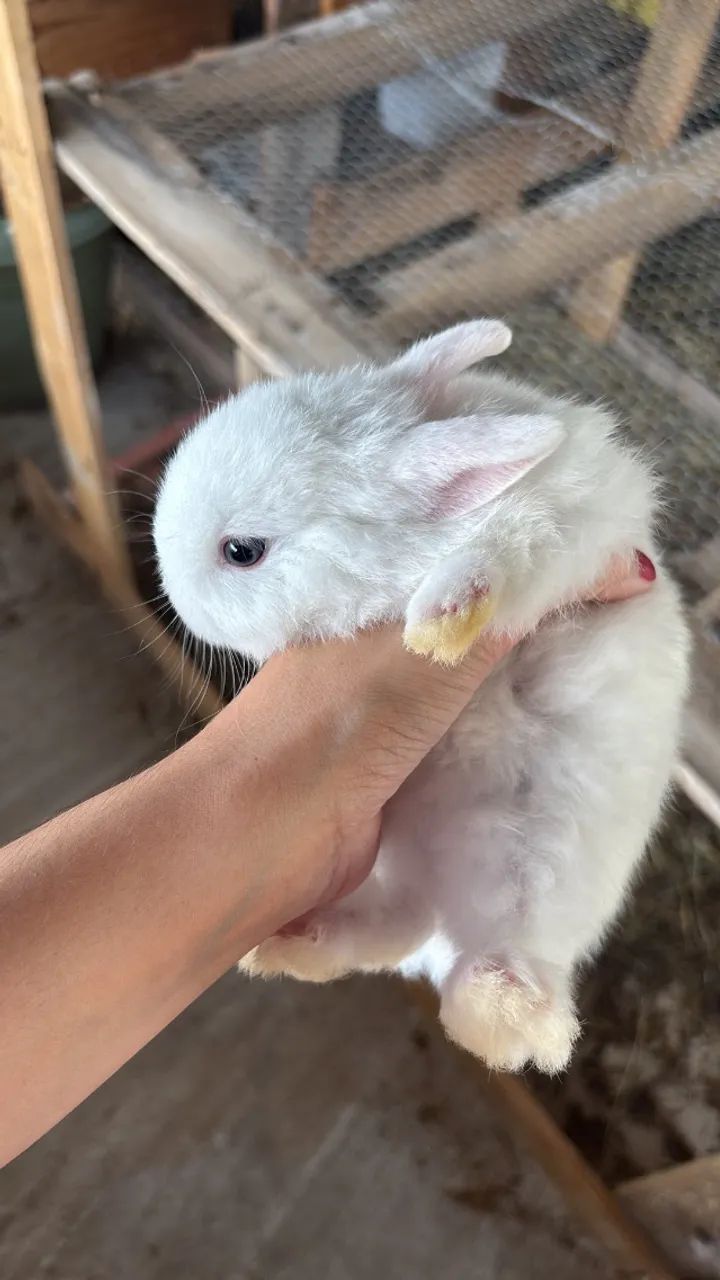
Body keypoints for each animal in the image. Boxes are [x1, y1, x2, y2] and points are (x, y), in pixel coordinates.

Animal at [154, 318, 690, 1074]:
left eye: (242, 551)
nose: (171, 592)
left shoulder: (572, 530)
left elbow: (506, 553)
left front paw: (441, 622)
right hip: (388, 858)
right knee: (395, 926)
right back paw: (291, 946)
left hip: (534, 872)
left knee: (518, 982)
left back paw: (495, 1007)